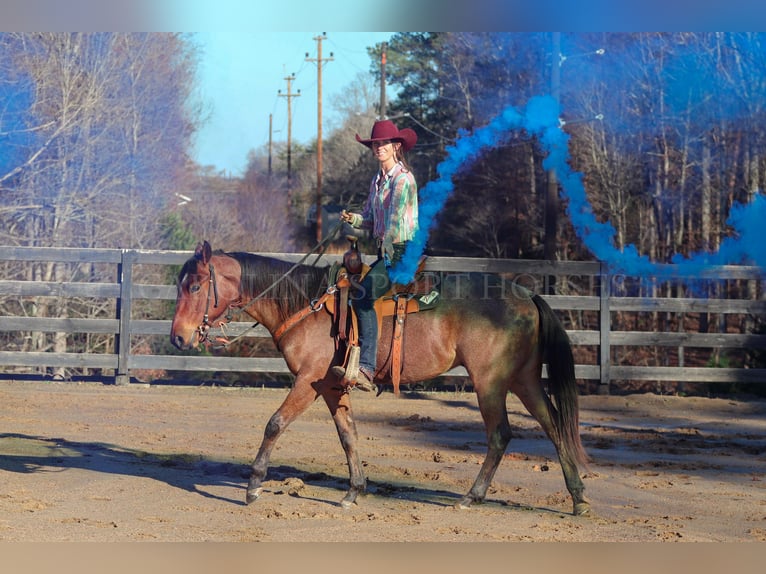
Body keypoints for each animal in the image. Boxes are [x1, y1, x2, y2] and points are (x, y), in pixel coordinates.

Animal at [171, 241, 592, 520]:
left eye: (195, 286)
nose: (178, 337)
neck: (306, 305)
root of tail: (528, 295)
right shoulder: (330, 387)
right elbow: (348, 435)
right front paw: (354, 491)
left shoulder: (308, 381)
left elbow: (275, 423)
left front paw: (253, 486)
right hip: (524, 380)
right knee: (554, 426)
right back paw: (578, 499)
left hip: (490, 381)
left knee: (501, 434)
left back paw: (472, 497)